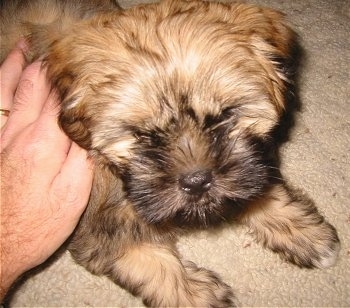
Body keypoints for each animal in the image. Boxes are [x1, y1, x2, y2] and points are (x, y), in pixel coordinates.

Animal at [0, 0, 340, 306]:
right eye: (143, 134)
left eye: (224, 116)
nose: (196, 181)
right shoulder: (98, 220)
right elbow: (144, 258)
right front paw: (196, 296)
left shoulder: (249, 166)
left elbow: (253, 187)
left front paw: (301, 231)